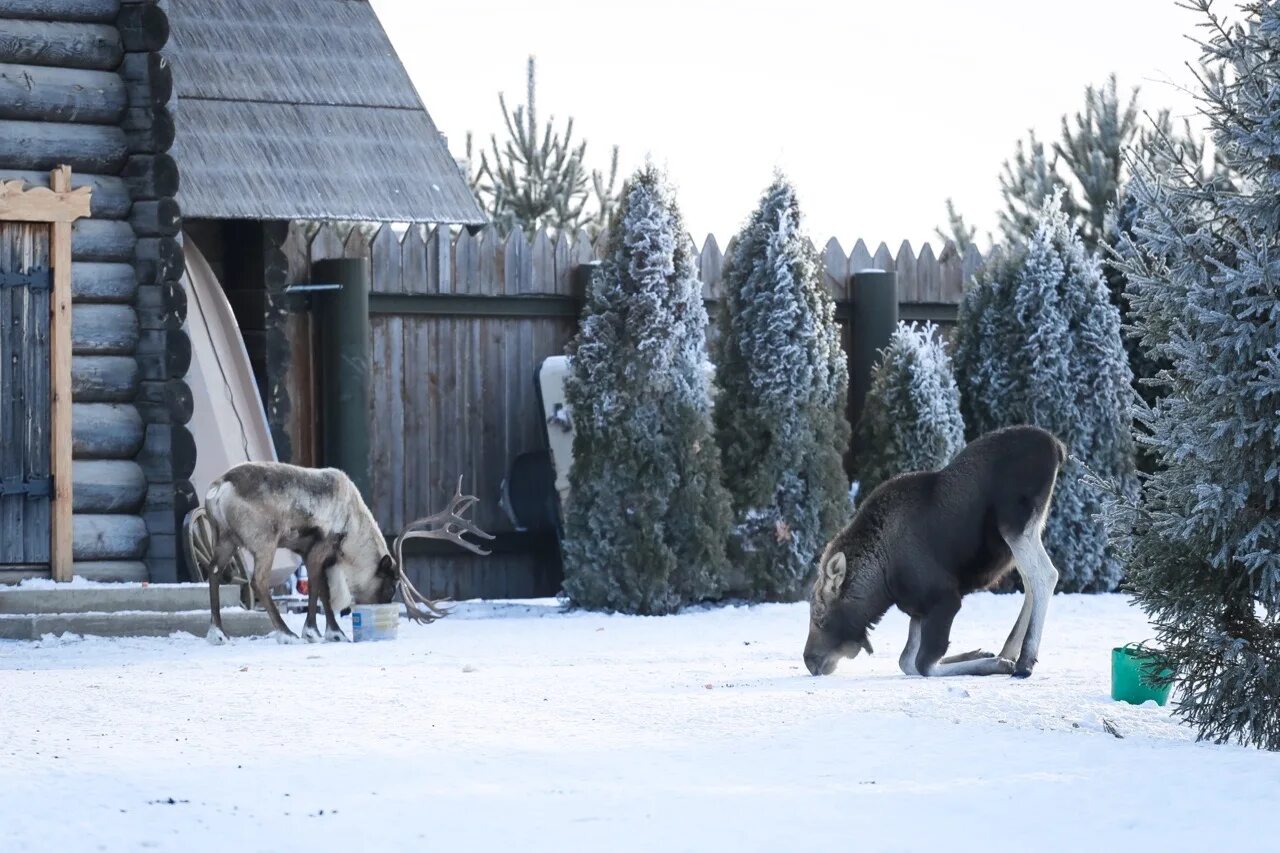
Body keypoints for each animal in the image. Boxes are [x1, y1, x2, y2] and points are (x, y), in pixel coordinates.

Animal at [183, 461, 491, 640]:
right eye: (391, 585)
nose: (380, 605)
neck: (354, 524)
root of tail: (219, 487)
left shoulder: (310, 552)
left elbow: (324, 591)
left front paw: (332, 631)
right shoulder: (321, 548)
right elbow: (320, 589)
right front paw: (317, 631)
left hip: (225, 537)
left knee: (213, 572)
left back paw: (218, 632)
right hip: (264, 541)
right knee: (258, 581)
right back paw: (285, 633)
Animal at [803, 425, 1064, 676]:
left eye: (819, 615)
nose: (809, 661)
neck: (882, 584)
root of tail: (1056, 446)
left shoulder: (944, 598)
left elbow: (923, 663)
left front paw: (994, 664)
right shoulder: (919, 610)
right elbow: (907, 661)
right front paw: (978, 654)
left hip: (1014, 525)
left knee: (1045, 575)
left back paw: (1024, 661)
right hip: (1023, 533)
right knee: (1029, 582)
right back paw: (1009, 651)